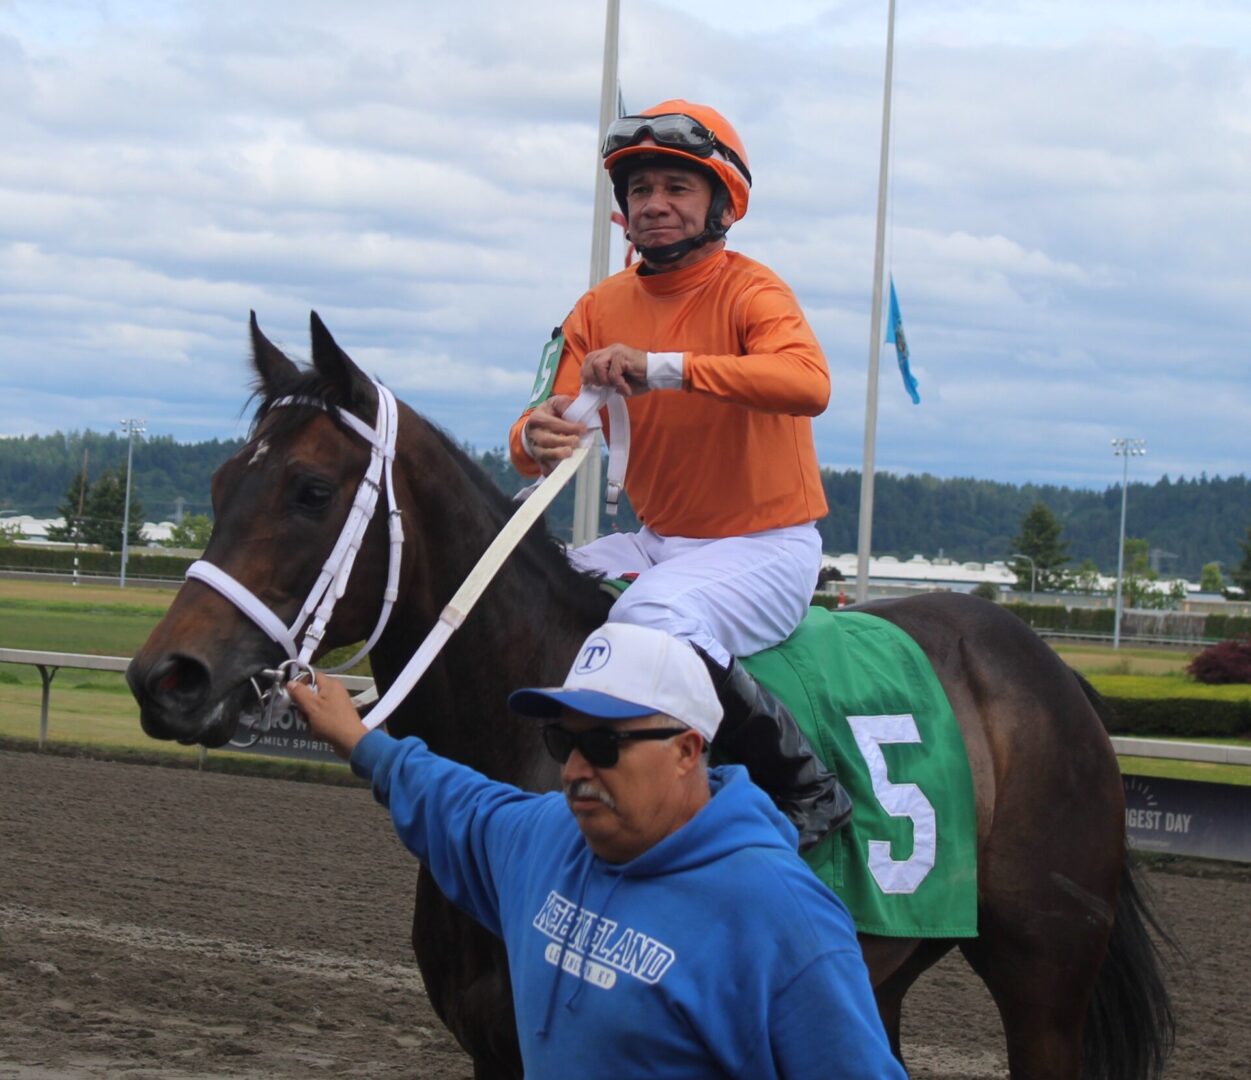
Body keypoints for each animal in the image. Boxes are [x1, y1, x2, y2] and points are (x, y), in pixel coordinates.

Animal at [128, 313, 1173, 1080]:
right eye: (219, 483)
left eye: (308, 490)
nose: (163, 677)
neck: (527, 739)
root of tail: (1042, 662)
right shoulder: (497, 1047)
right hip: (880, 970)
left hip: (1045, 978)